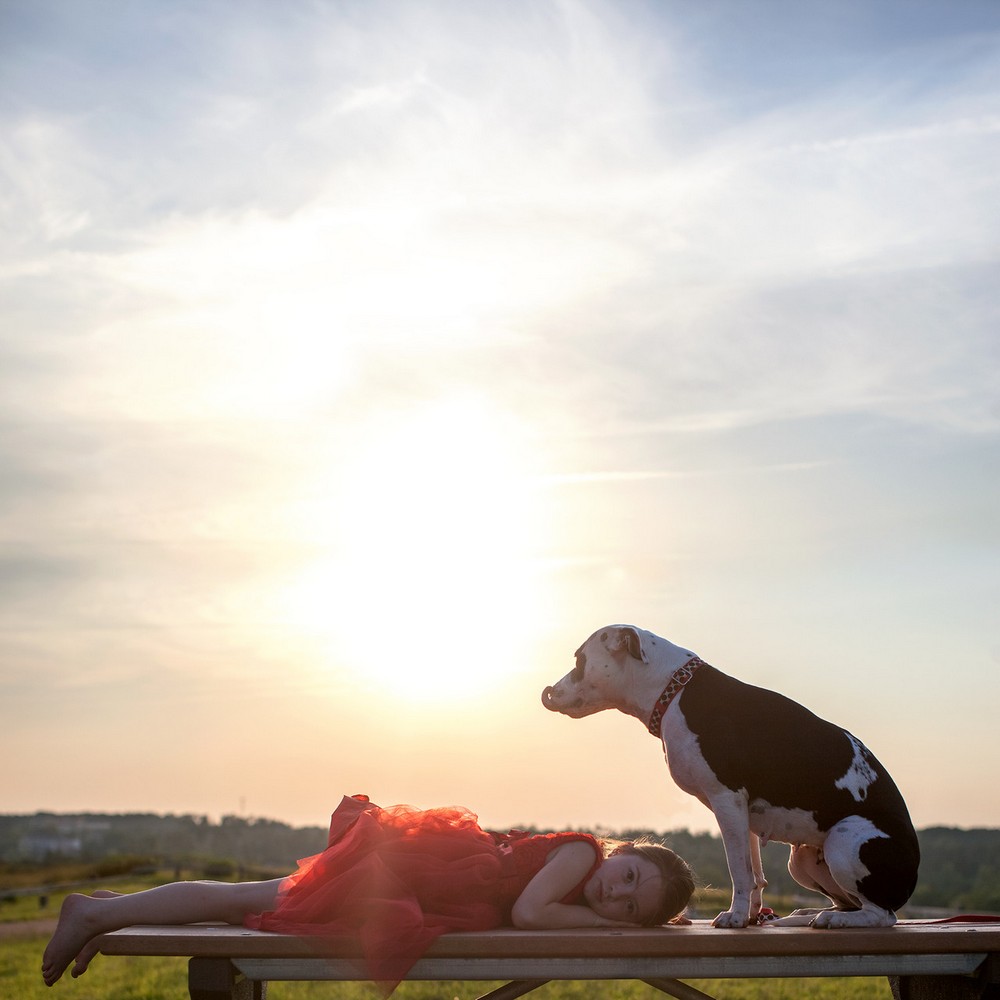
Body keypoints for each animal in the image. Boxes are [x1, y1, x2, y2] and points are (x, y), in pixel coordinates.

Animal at [544, 624, 916, 928]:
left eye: (580, 660)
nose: (547, 690)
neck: (673, 690)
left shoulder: (726, 799)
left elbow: (738, 870)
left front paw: (734, 917)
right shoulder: (742, 812)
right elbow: (754, 874)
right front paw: (750, 916)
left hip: (844, 840)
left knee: (880, 914)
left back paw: (835, 920)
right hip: (802, 858)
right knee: (848, 903)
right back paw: (807, 914)